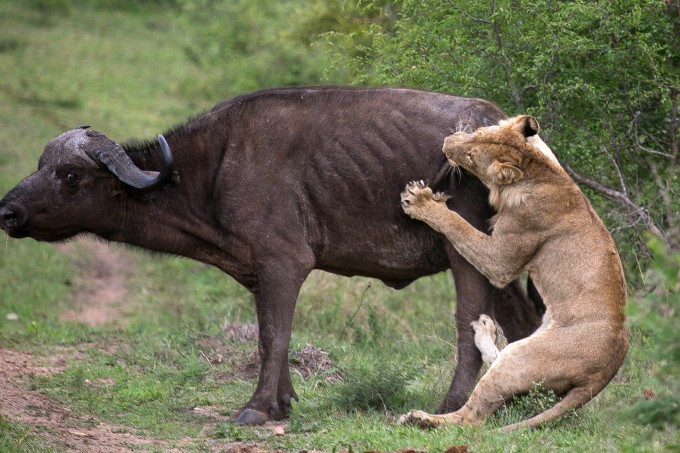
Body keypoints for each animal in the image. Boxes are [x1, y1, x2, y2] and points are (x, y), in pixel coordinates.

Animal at [0, 85, 540, 424]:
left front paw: (258, 408)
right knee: (525, 319)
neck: (211, 170)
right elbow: (270, 335)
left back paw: (451, 404)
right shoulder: (261, 274)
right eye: (41, 164)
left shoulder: (284, 264)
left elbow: (274, 336)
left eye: (70, 176)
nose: (8, 211)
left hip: (467, 254)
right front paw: (284, 402)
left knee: (470, 322)